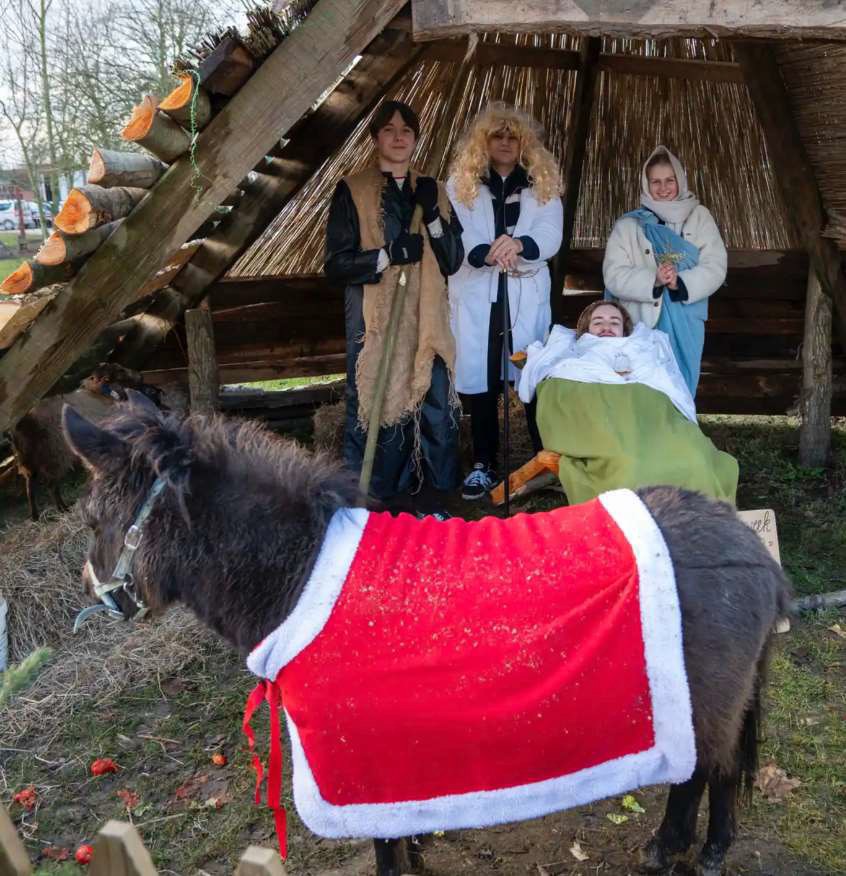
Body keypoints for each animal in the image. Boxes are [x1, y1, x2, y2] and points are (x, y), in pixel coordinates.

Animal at [62, 392, 791, 876]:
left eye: (94, 516)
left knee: (705, 773)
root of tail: (750, 547)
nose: (99, 594)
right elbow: (404, 832)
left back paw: (675, 850)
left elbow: (385, 847)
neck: (302, 570)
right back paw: (707, 849)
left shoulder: (358, 759)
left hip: (700, 702)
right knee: (721, 771)